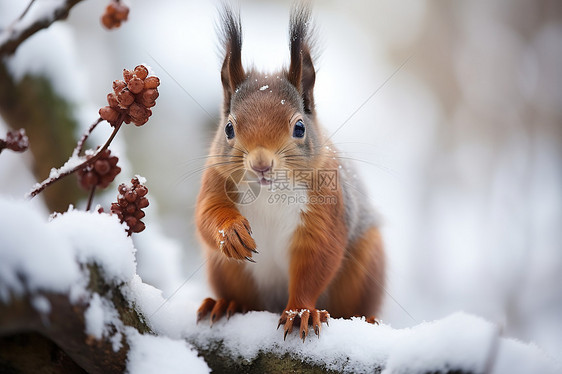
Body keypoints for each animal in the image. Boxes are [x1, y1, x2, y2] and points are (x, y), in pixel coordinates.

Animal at [194, 3, 384, 342]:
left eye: (299, 127)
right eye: (229, 128)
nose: (261, 164)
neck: (270, 192)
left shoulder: (327, 203)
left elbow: (317, 260)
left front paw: (301, 312)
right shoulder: (215, 180)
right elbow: (207, 215)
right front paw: (231, 233)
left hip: (366, 260)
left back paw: (369, 320)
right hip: (225, 270)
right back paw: (225, 304)